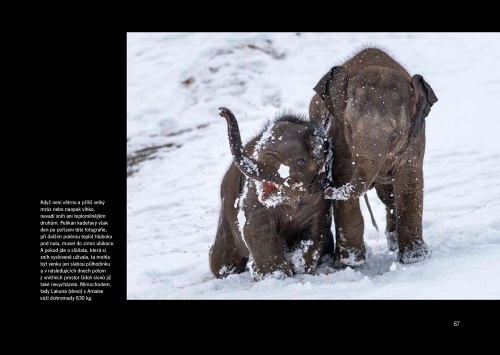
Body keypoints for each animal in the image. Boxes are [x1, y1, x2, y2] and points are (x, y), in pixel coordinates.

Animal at [209, 107, 334, 280]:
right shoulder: (252, 191)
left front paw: (297, 267)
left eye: (300, 162)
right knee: (225, 263)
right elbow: (258, 228)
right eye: (258, 151)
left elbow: (317, 229)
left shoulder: (320, 199)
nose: (222, 111)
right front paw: (277, 275)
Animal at [310, 47, 436, 266]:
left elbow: (409, 181)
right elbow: (342, 175)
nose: (327, 191)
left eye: (394, 135)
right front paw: (351, 262)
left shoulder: (416, 137)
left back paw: (394, 243)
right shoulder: (338, 137)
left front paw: (416, 258)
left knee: (388, 196)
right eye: (349, 128)